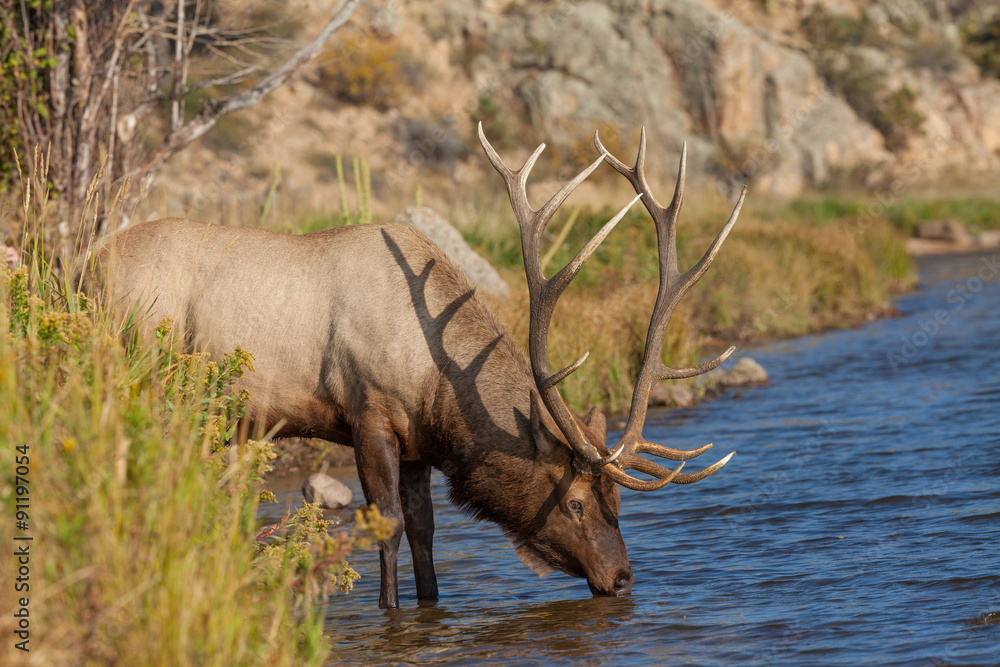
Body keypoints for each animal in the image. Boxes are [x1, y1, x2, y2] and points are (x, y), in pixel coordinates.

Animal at [80, 123, 746, 609]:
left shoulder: (420, 444)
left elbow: (426, 531)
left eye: (617, 501)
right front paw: (390, 611)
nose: (623, 578)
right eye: (577, 501)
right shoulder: (367, 413)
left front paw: (430, 606)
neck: (437, 386)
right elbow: (390, 524)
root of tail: (81, 267)